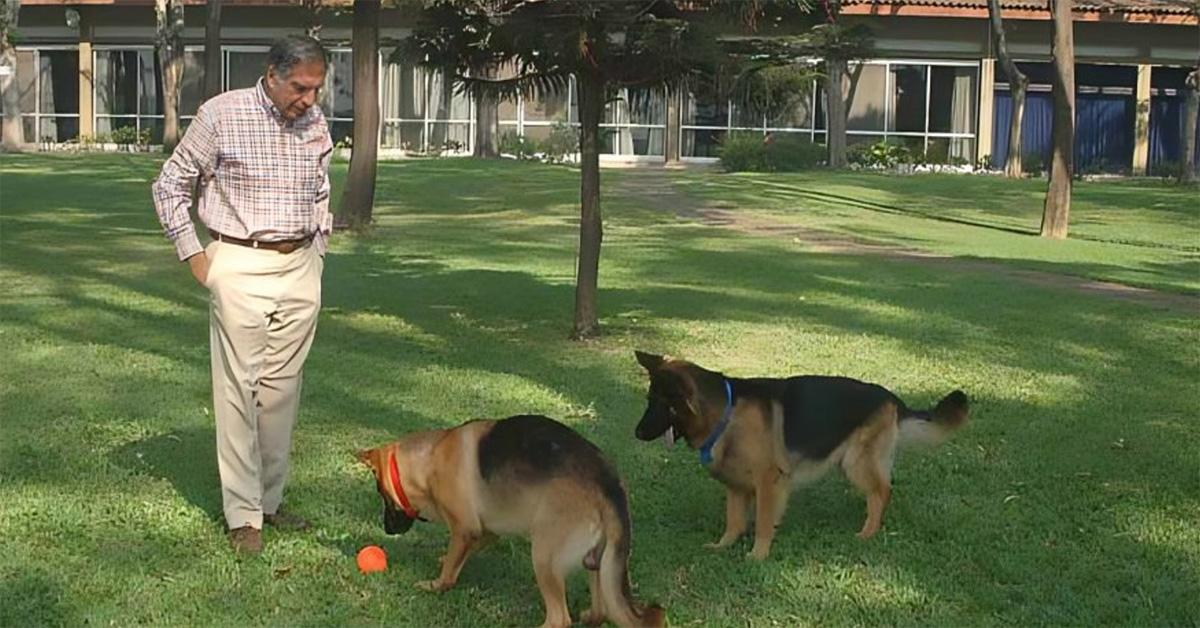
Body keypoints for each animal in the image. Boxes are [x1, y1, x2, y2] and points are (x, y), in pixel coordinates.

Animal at [352, 415, 667, 624]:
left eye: (381, 494)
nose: (386, 529)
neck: (429, 457)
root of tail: (608, 483)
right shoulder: (486, 531)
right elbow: (461, 555)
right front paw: (446, 560)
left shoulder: (465, 528)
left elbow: (449, 572)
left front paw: (436, 583)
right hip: (597, 562)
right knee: (600, 609)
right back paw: (591, 614)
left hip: (544, 556)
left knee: (559, 619)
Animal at [628, 350, 964, 561]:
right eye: (648, 400)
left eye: (662, 404)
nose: (637, 434)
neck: (726, 411)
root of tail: (891, 397)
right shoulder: (737, 487)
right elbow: (733, 521)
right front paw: (723, 546)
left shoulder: (769, 483)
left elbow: (764, 522)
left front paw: (757, 556)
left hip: (856, 462)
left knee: (883, 490)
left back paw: (869, 531)